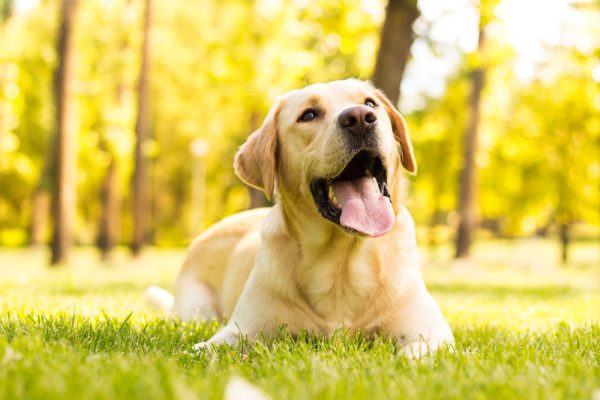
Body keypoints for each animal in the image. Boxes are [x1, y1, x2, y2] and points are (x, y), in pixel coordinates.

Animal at [148, 78, 452, 356]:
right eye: (308, 115)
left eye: (370, 103)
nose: (360, 118)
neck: (341, 262)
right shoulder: (239, 330)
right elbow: (201, 351)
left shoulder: (433, 332)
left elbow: (414, 353)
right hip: (196, 311)